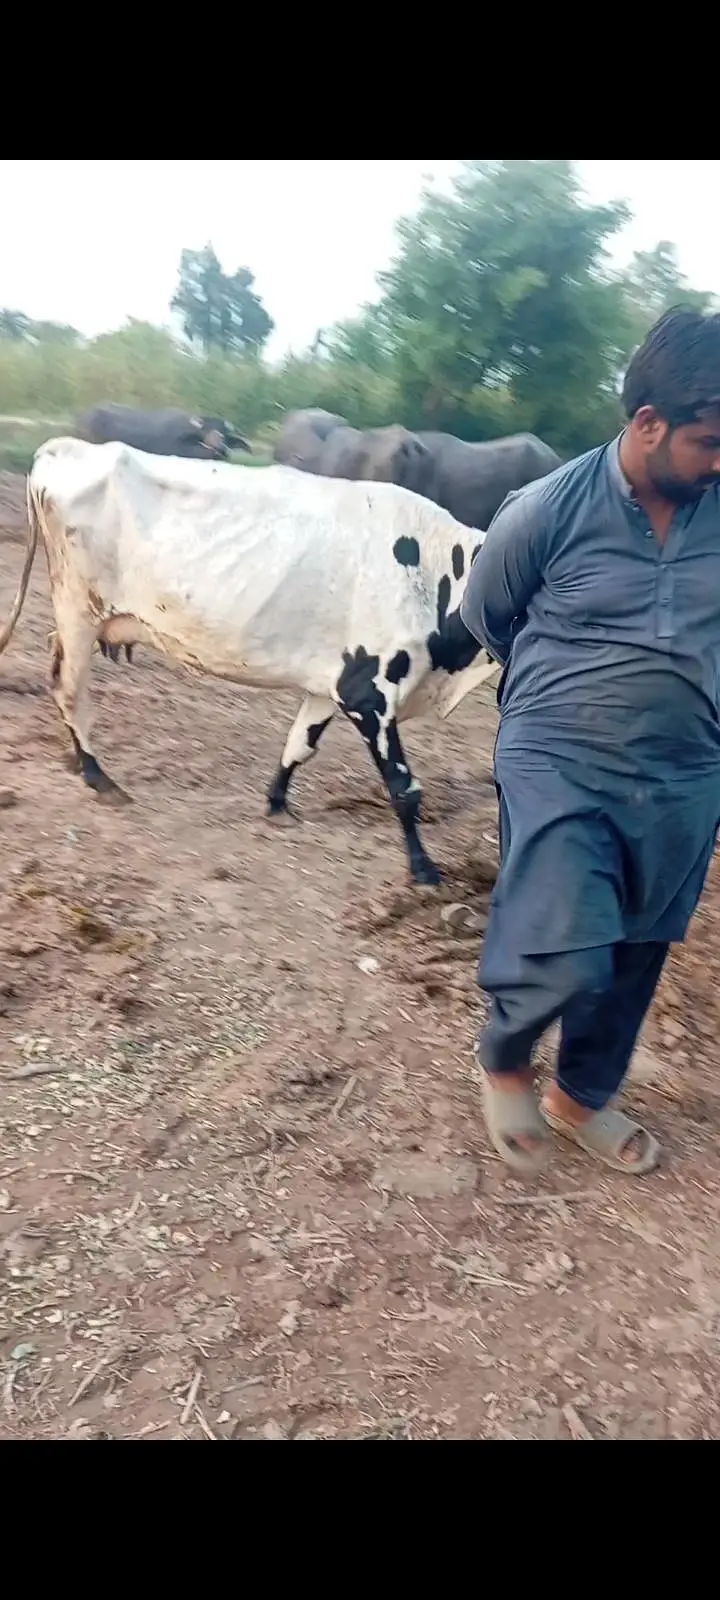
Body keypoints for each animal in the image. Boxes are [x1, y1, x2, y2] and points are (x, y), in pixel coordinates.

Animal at [0, 438, 500, 887]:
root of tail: (67, 448)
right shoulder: (369, 691)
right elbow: (403, 787)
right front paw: (424, 869)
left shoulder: (330, 686)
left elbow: (299, 745)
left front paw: (277, 804)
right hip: (77, 609)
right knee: (68, 688)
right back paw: (97, 776)